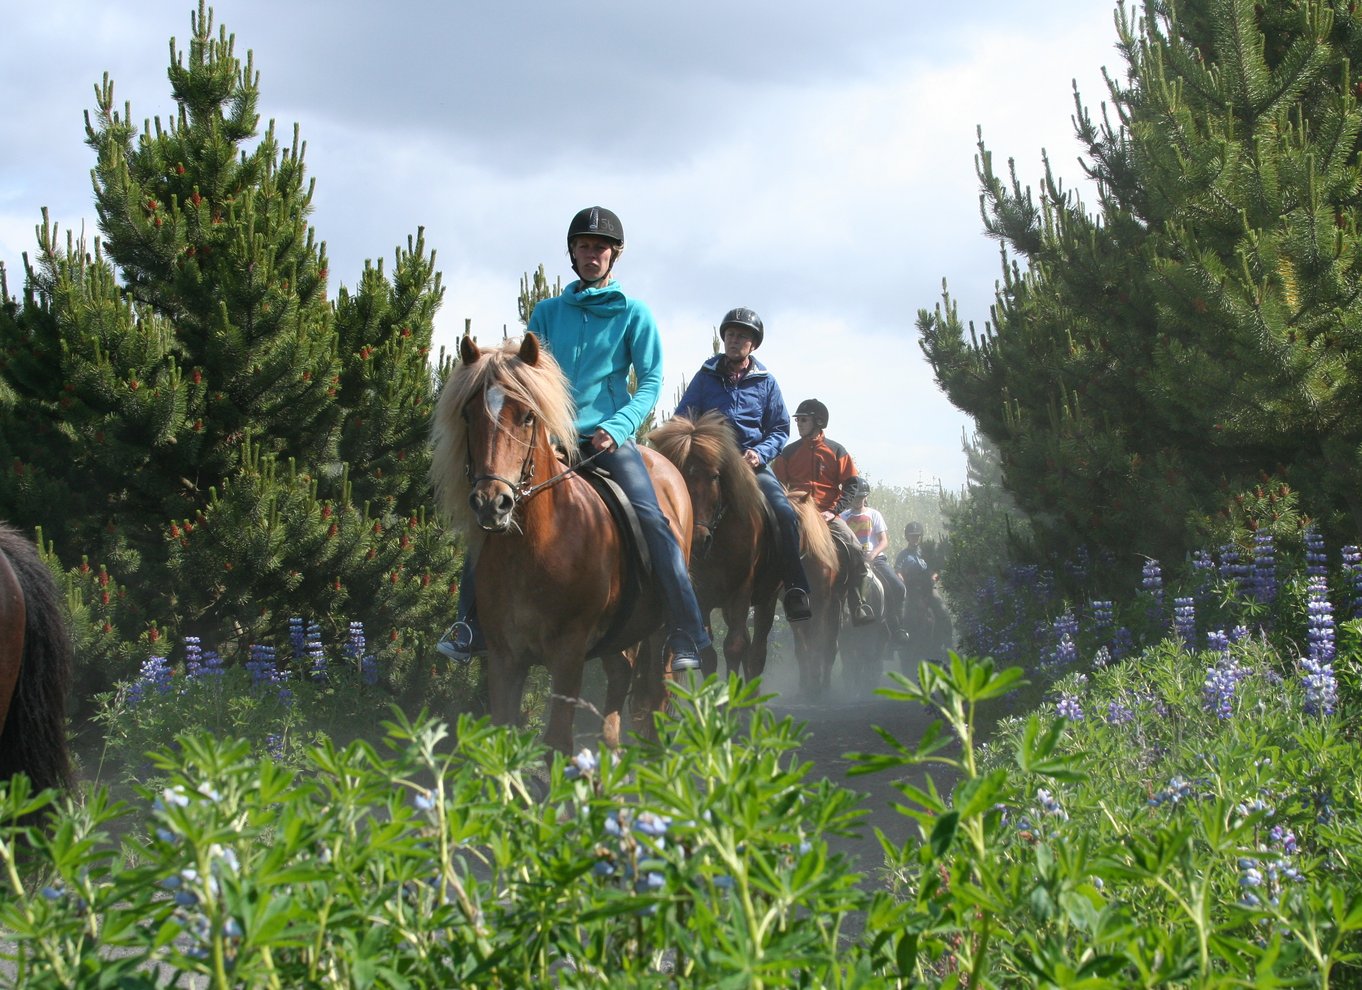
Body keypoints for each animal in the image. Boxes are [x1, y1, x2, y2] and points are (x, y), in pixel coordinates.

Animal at [430, 330, 691, 751]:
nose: (492, 503)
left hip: (661, 631)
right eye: (468, 416)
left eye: (527, 416)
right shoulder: (504, 657)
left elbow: (556, 741)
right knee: (621, 676)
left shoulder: (568, 655)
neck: (536, 548)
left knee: (657, 695)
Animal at [645, 411, 784, 680]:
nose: (699, 540)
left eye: (715, 476)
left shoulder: (741, 590)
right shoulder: (701, 596)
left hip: (767, 599)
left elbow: (734, 647)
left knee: (756, 653)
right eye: (679, 476)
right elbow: (709, 654)